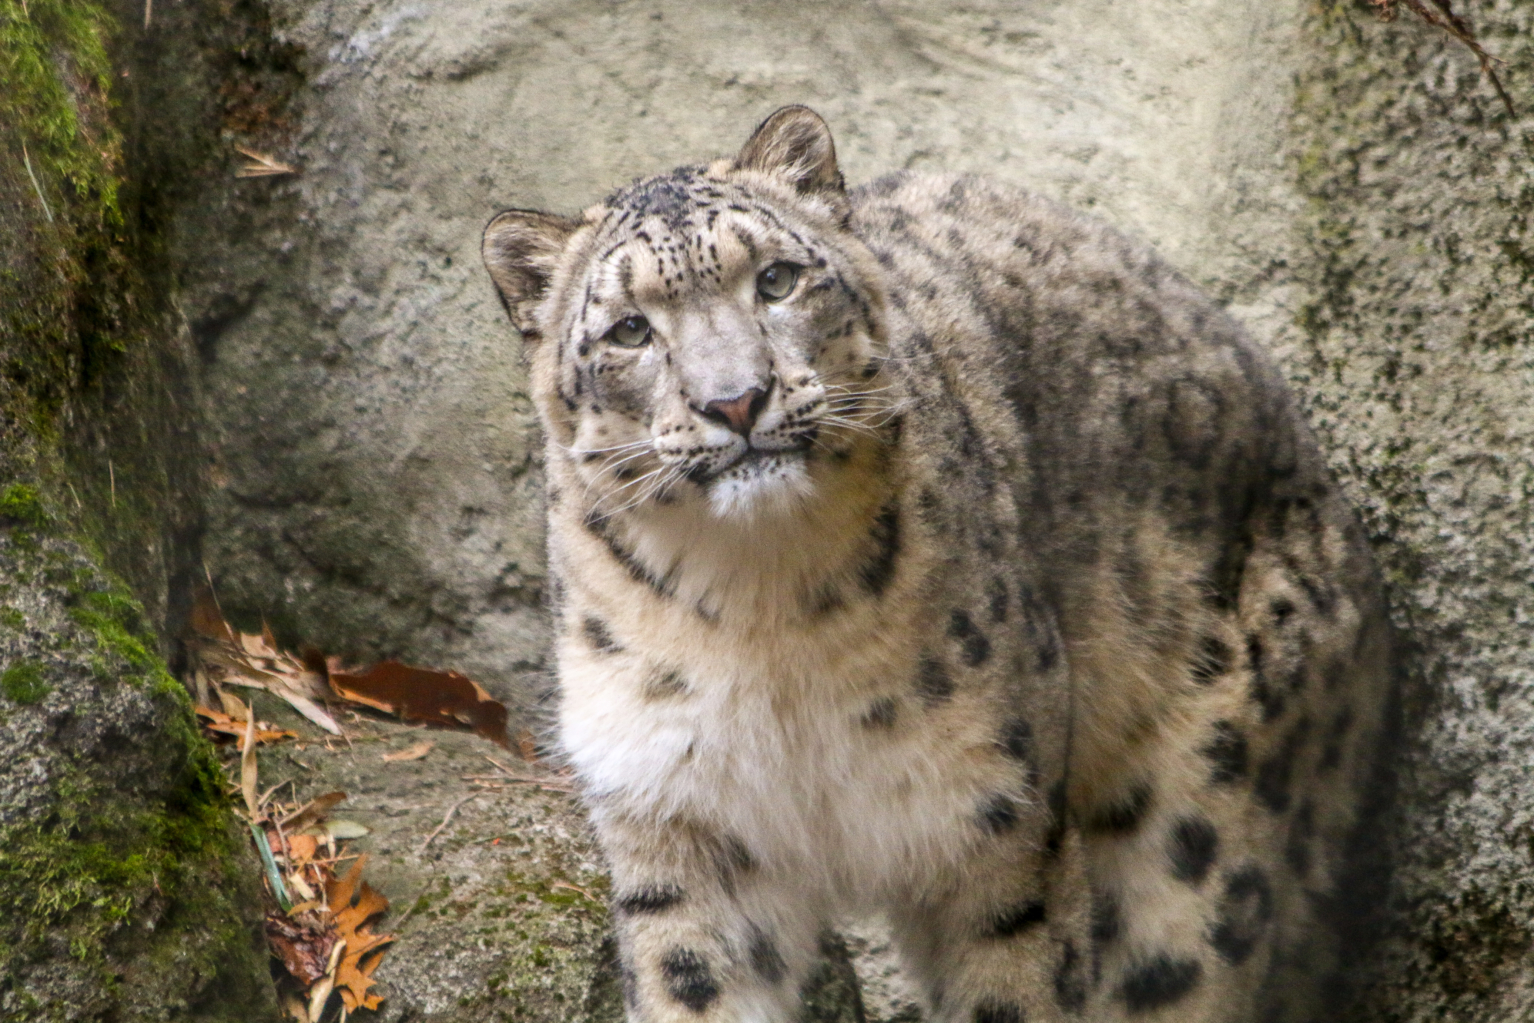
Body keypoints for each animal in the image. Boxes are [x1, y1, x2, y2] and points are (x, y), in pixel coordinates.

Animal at [484, 105, 1399, 1023]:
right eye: (630, 330)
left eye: (775, 279)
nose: (735, 400)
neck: (760, 607)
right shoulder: (677, 821)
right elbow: (693, 983)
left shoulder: (994, 817)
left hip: (1203, 818)